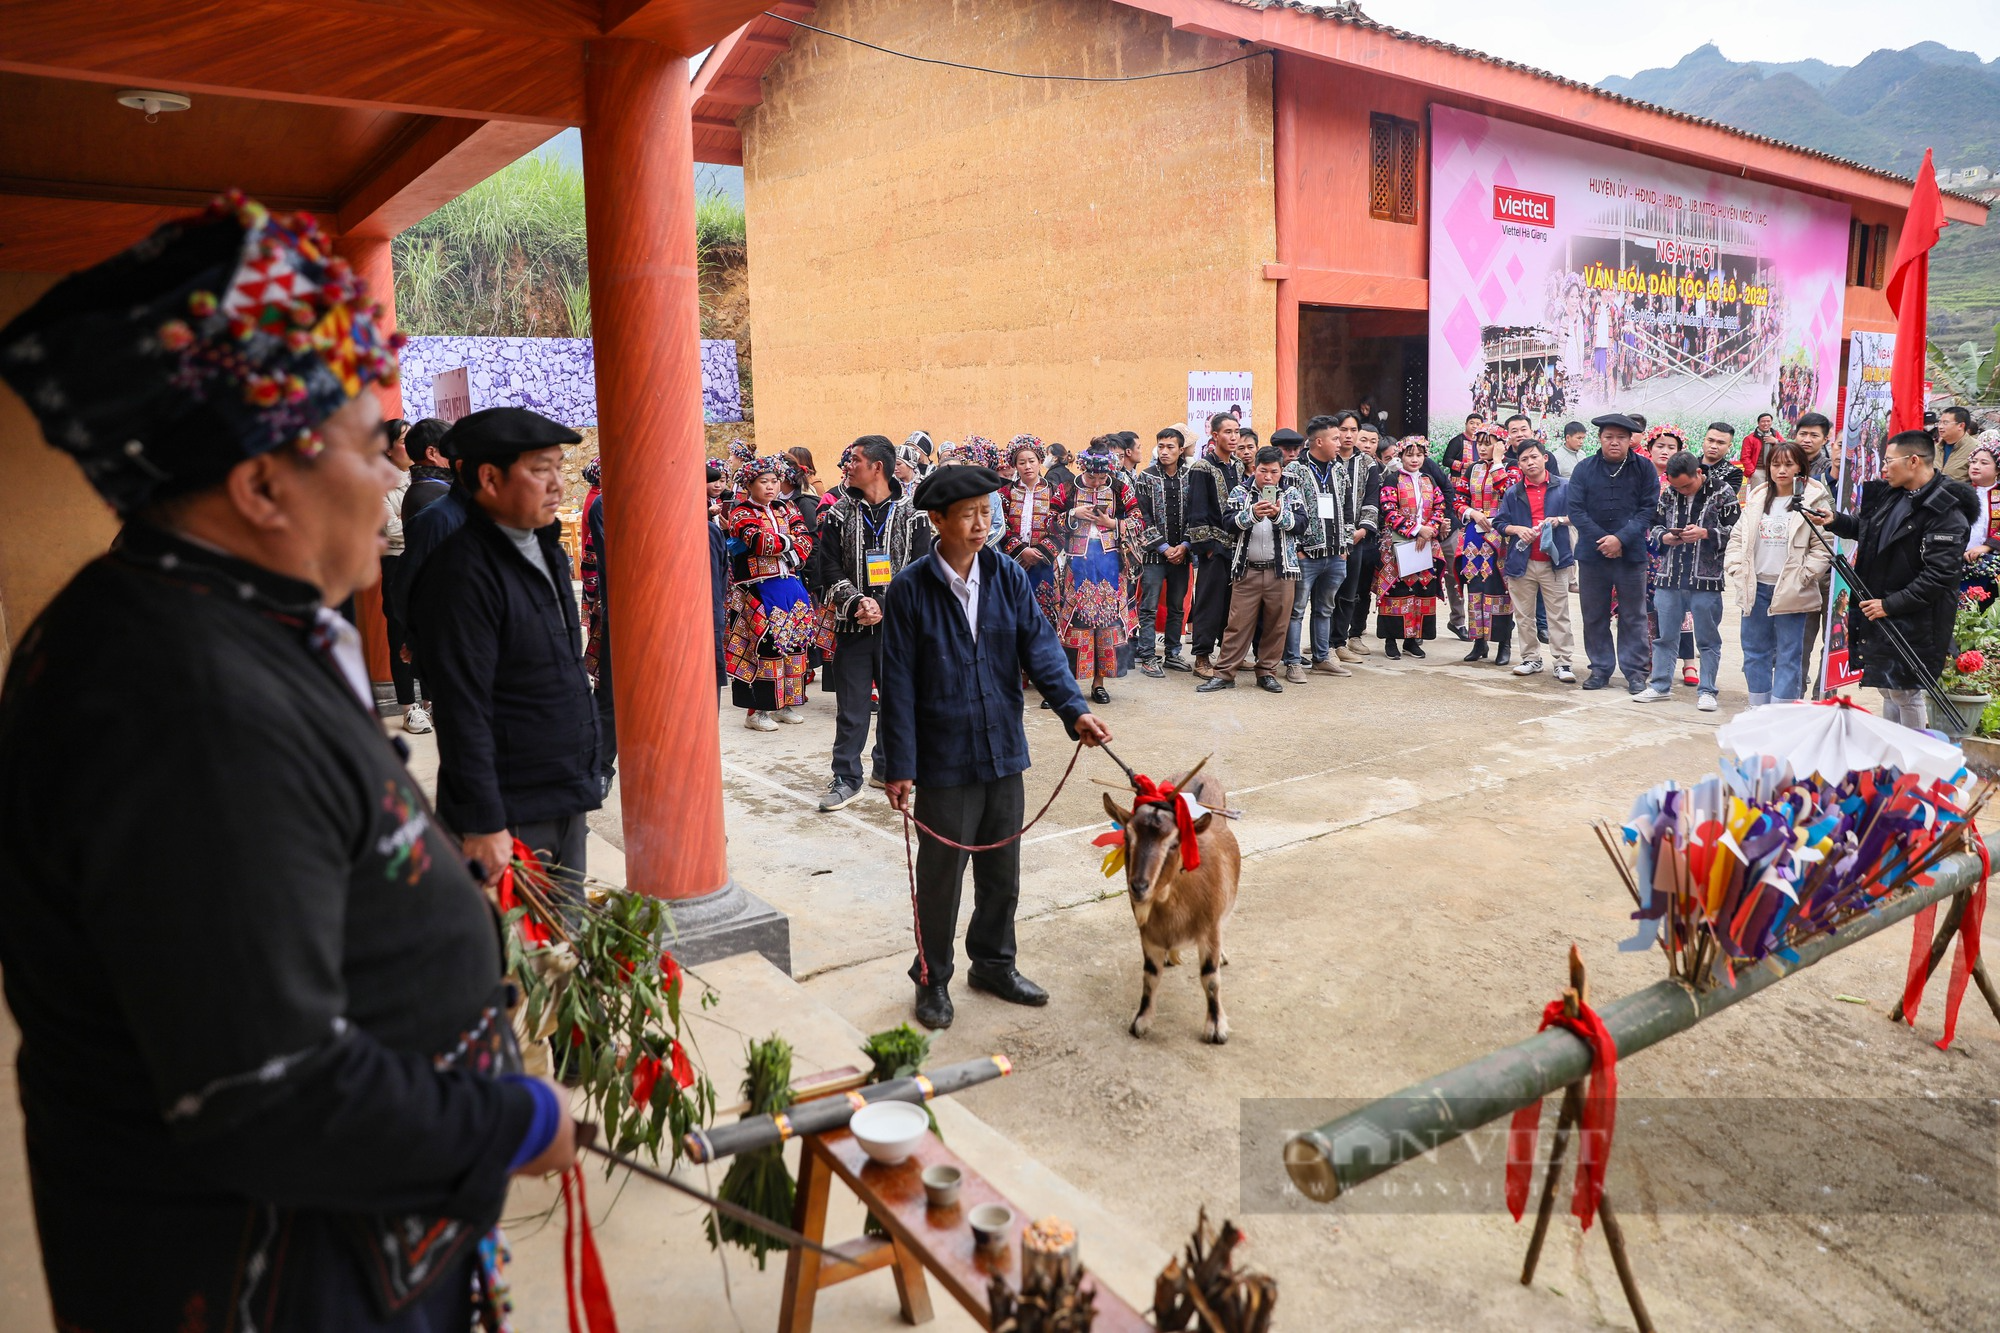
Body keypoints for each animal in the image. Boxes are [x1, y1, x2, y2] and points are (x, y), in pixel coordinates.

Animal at [1104, 764, 1240, 1040]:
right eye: (1127, 838)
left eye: (1174, 844)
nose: (1139, 887)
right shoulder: (1148, 934)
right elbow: (1150, 976)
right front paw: (1141, 1021)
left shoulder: (1209, 928)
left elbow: (1210, 977)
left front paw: (1216, 1027)